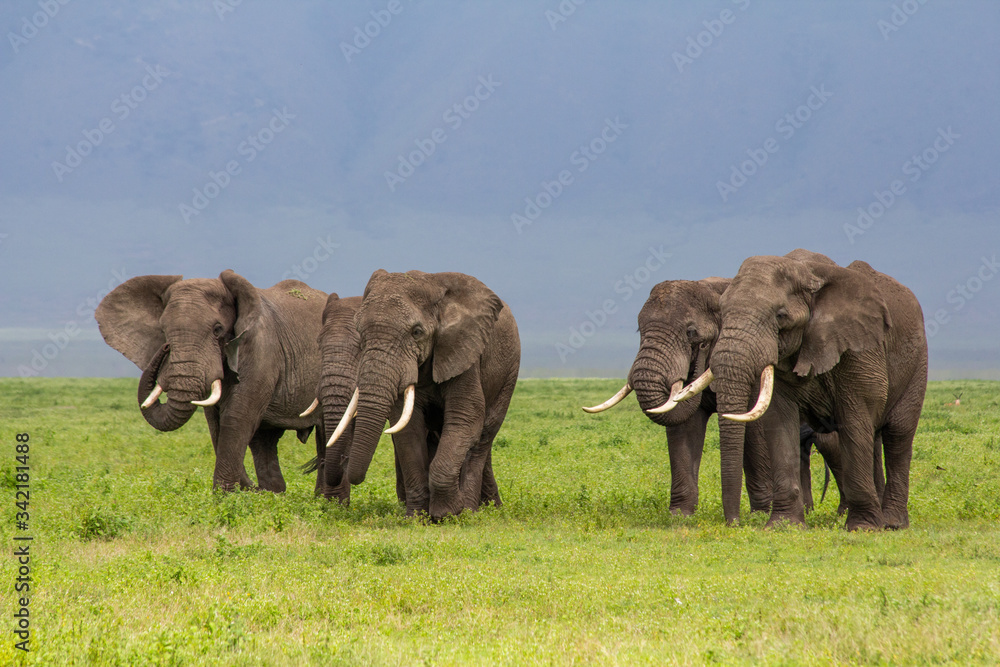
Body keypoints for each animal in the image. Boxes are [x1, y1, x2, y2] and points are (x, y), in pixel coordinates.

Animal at [96, 270, 336, 493]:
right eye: (163, 331)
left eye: (218, 330)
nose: (165, 348)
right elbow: (214, 421)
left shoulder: (261, 349)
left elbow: (236, 416)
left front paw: (224, 498)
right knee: (265, 440)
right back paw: (273, 494)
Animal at [324, 269, 520, 521]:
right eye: (360, 335)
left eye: (417, 332)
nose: (344, 463)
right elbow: (408, 430)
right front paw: (418, 517)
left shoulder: (463, 351)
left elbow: (466, 417)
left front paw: (446, 514)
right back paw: (488, 507)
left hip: (508, 373)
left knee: (482, 438)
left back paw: (471, 510)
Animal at [582, 278, 774, 515]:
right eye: (639, 329)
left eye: (691, 333)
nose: (701, 352)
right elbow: (683, 426)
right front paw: (680, 515)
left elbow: (755, 427)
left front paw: (761, 515)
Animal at [692, 249, 927, 530]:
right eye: (722, 311)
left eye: (781, 316)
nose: (734, 523)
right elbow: (780, 422)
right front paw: (783, 526)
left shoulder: (859, 347)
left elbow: (856, 418)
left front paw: (863, 528)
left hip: (917, 363)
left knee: (897, 435)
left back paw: (892, 523)